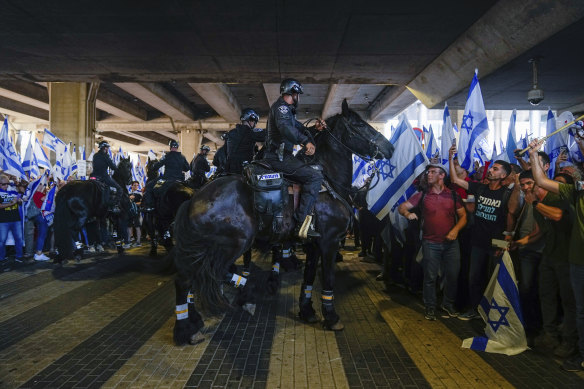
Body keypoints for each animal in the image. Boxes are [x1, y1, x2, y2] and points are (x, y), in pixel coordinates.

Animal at [169, 99, 394, 342]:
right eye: (359, 124)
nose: (390, 148)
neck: (328, 181)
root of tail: (193, 200)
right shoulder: (330, 242)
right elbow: (328, 279)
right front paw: (331, 316)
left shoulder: (313, 244)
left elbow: (309, 277)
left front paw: (307, 310)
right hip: (230, 245)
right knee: (201, 275)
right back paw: (196, 322)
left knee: (188, 277)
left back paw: (193, 320)